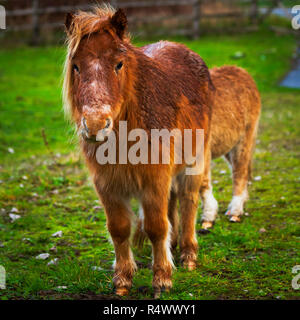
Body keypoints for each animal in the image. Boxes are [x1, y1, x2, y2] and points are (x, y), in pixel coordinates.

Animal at [63, 5, 260, 298]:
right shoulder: (107, 184)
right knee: (175, 202)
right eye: (76, 66)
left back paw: (189, 252)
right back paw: (176, 243)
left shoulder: (154, 179)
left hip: (199, 159)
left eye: (119, 64)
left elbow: (156, 227)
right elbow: (119, 229)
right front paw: (123, 280)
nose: (96, 125)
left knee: (191, 199)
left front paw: (162, 280)